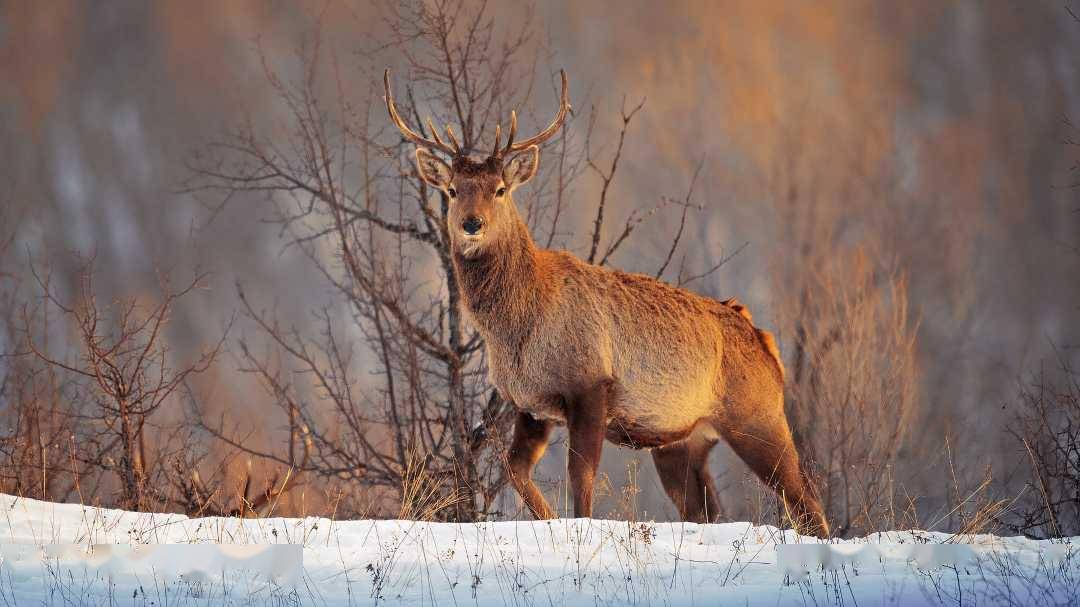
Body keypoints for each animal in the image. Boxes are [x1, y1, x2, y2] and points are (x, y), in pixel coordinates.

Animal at [384, 68, 829, 535]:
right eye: (452, 190)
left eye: (500, 189)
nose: (473, 223)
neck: (517, 326)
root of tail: (764, 342)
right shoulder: (531, 404)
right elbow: (515, 470)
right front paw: (548, 520)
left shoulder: (589, 384)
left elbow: (581, 478)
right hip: (682, 440)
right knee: (707, 510)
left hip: (757, 415)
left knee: (807, 502)